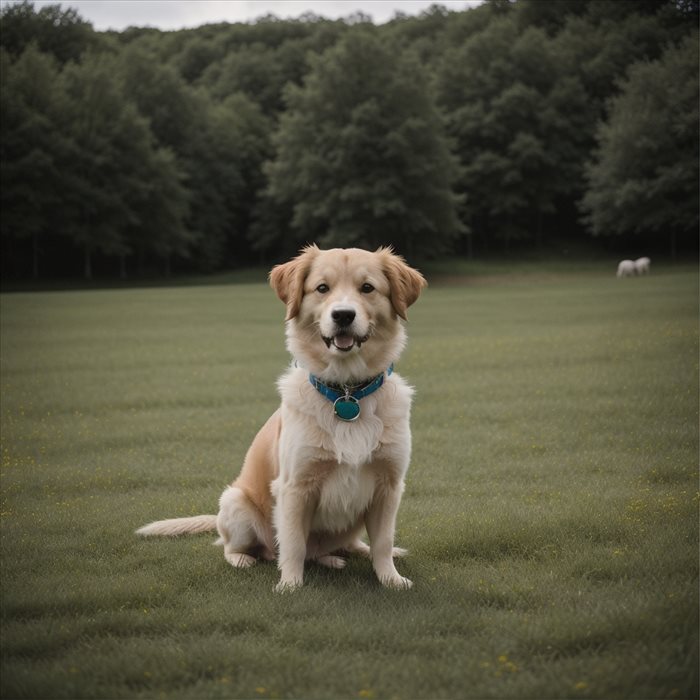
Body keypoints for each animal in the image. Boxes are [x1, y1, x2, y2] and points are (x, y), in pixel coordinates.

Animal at [134, 246, 424, 592]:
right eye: (322, 288)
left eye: (367, 288)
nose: (343, 315)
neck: (347, 392)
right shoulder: (295, 487)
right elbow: (294, 543)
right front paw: (290, 585)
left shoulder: (389, 486)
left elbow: (382, 541)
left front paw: (391, 578)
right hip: (235, 503)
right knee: (242, 548)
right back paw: (244, 559)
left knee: (345, 545)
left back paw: (345, 555)